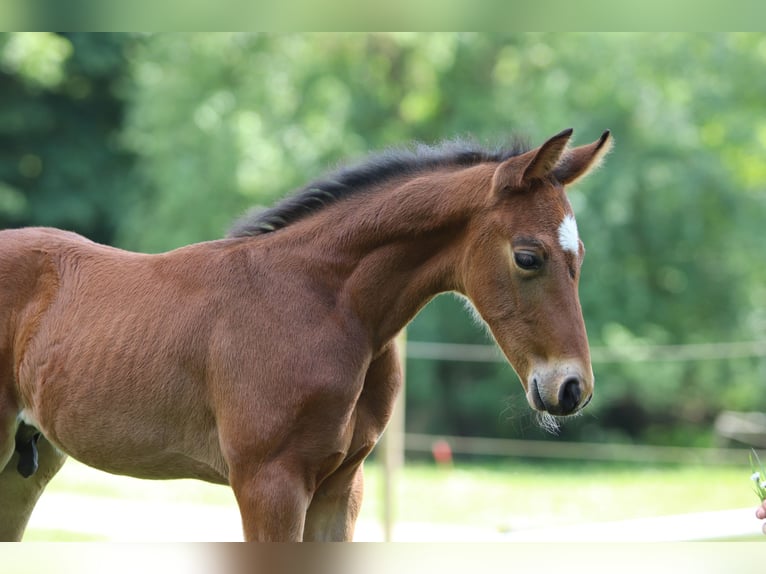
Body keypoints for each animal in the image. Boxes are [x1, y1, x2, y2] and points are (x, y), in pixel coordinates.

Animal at [0, 128, 612, 544]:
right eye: (528, 257)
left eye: (581, 256)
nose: (571, 388)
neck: (324, 302)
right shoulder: (268, 484)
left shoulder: (341, 487)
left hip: (30, 460)